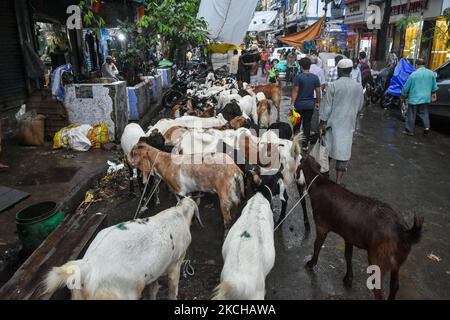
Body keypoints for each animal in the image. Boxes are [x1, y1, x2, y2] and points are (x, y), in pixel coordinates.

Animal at [42, 198, 200, 300]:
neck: (181, 213)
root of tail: (88, 265)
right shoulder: (176, 262)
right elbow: (173, 288)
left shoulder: (155, 271)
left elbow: (153, 289)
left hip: (78, 295)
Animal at [298, 155, 422, 300]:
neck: (318, 182)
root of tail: (403, 231)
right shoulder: (348, 236)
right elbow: (348, 255)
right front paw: (348, 278)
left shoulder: (321, 226)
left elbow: (317, 245)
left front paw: (311, 263)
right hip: (397, 262)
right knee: (395, 286)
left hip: (378, 260)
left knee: (379, 292)